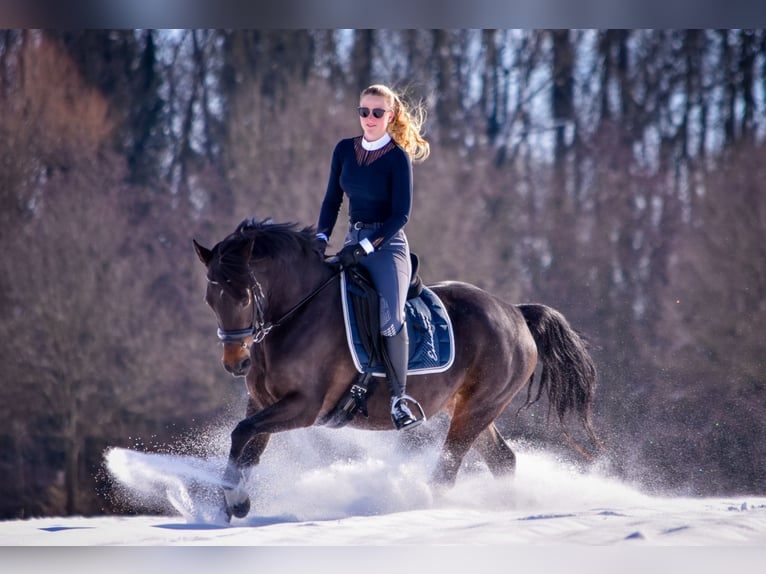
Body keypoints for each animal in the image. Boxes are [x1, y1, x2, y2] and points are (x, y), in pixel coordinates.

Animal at [195, 219, 604, 520]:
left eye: (244, 297)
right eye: (210, 299)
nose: (236, 363)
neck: (298, 313)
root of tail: (515, 313)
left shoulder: (305, 406)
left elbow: (242, 433)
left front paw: (234, 502)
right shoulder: (262, 402)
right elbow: (246, 445)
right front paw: (232, 505)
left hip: (477, 409)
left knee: (448, 470)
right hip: (469, 408)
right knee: (502, 460)